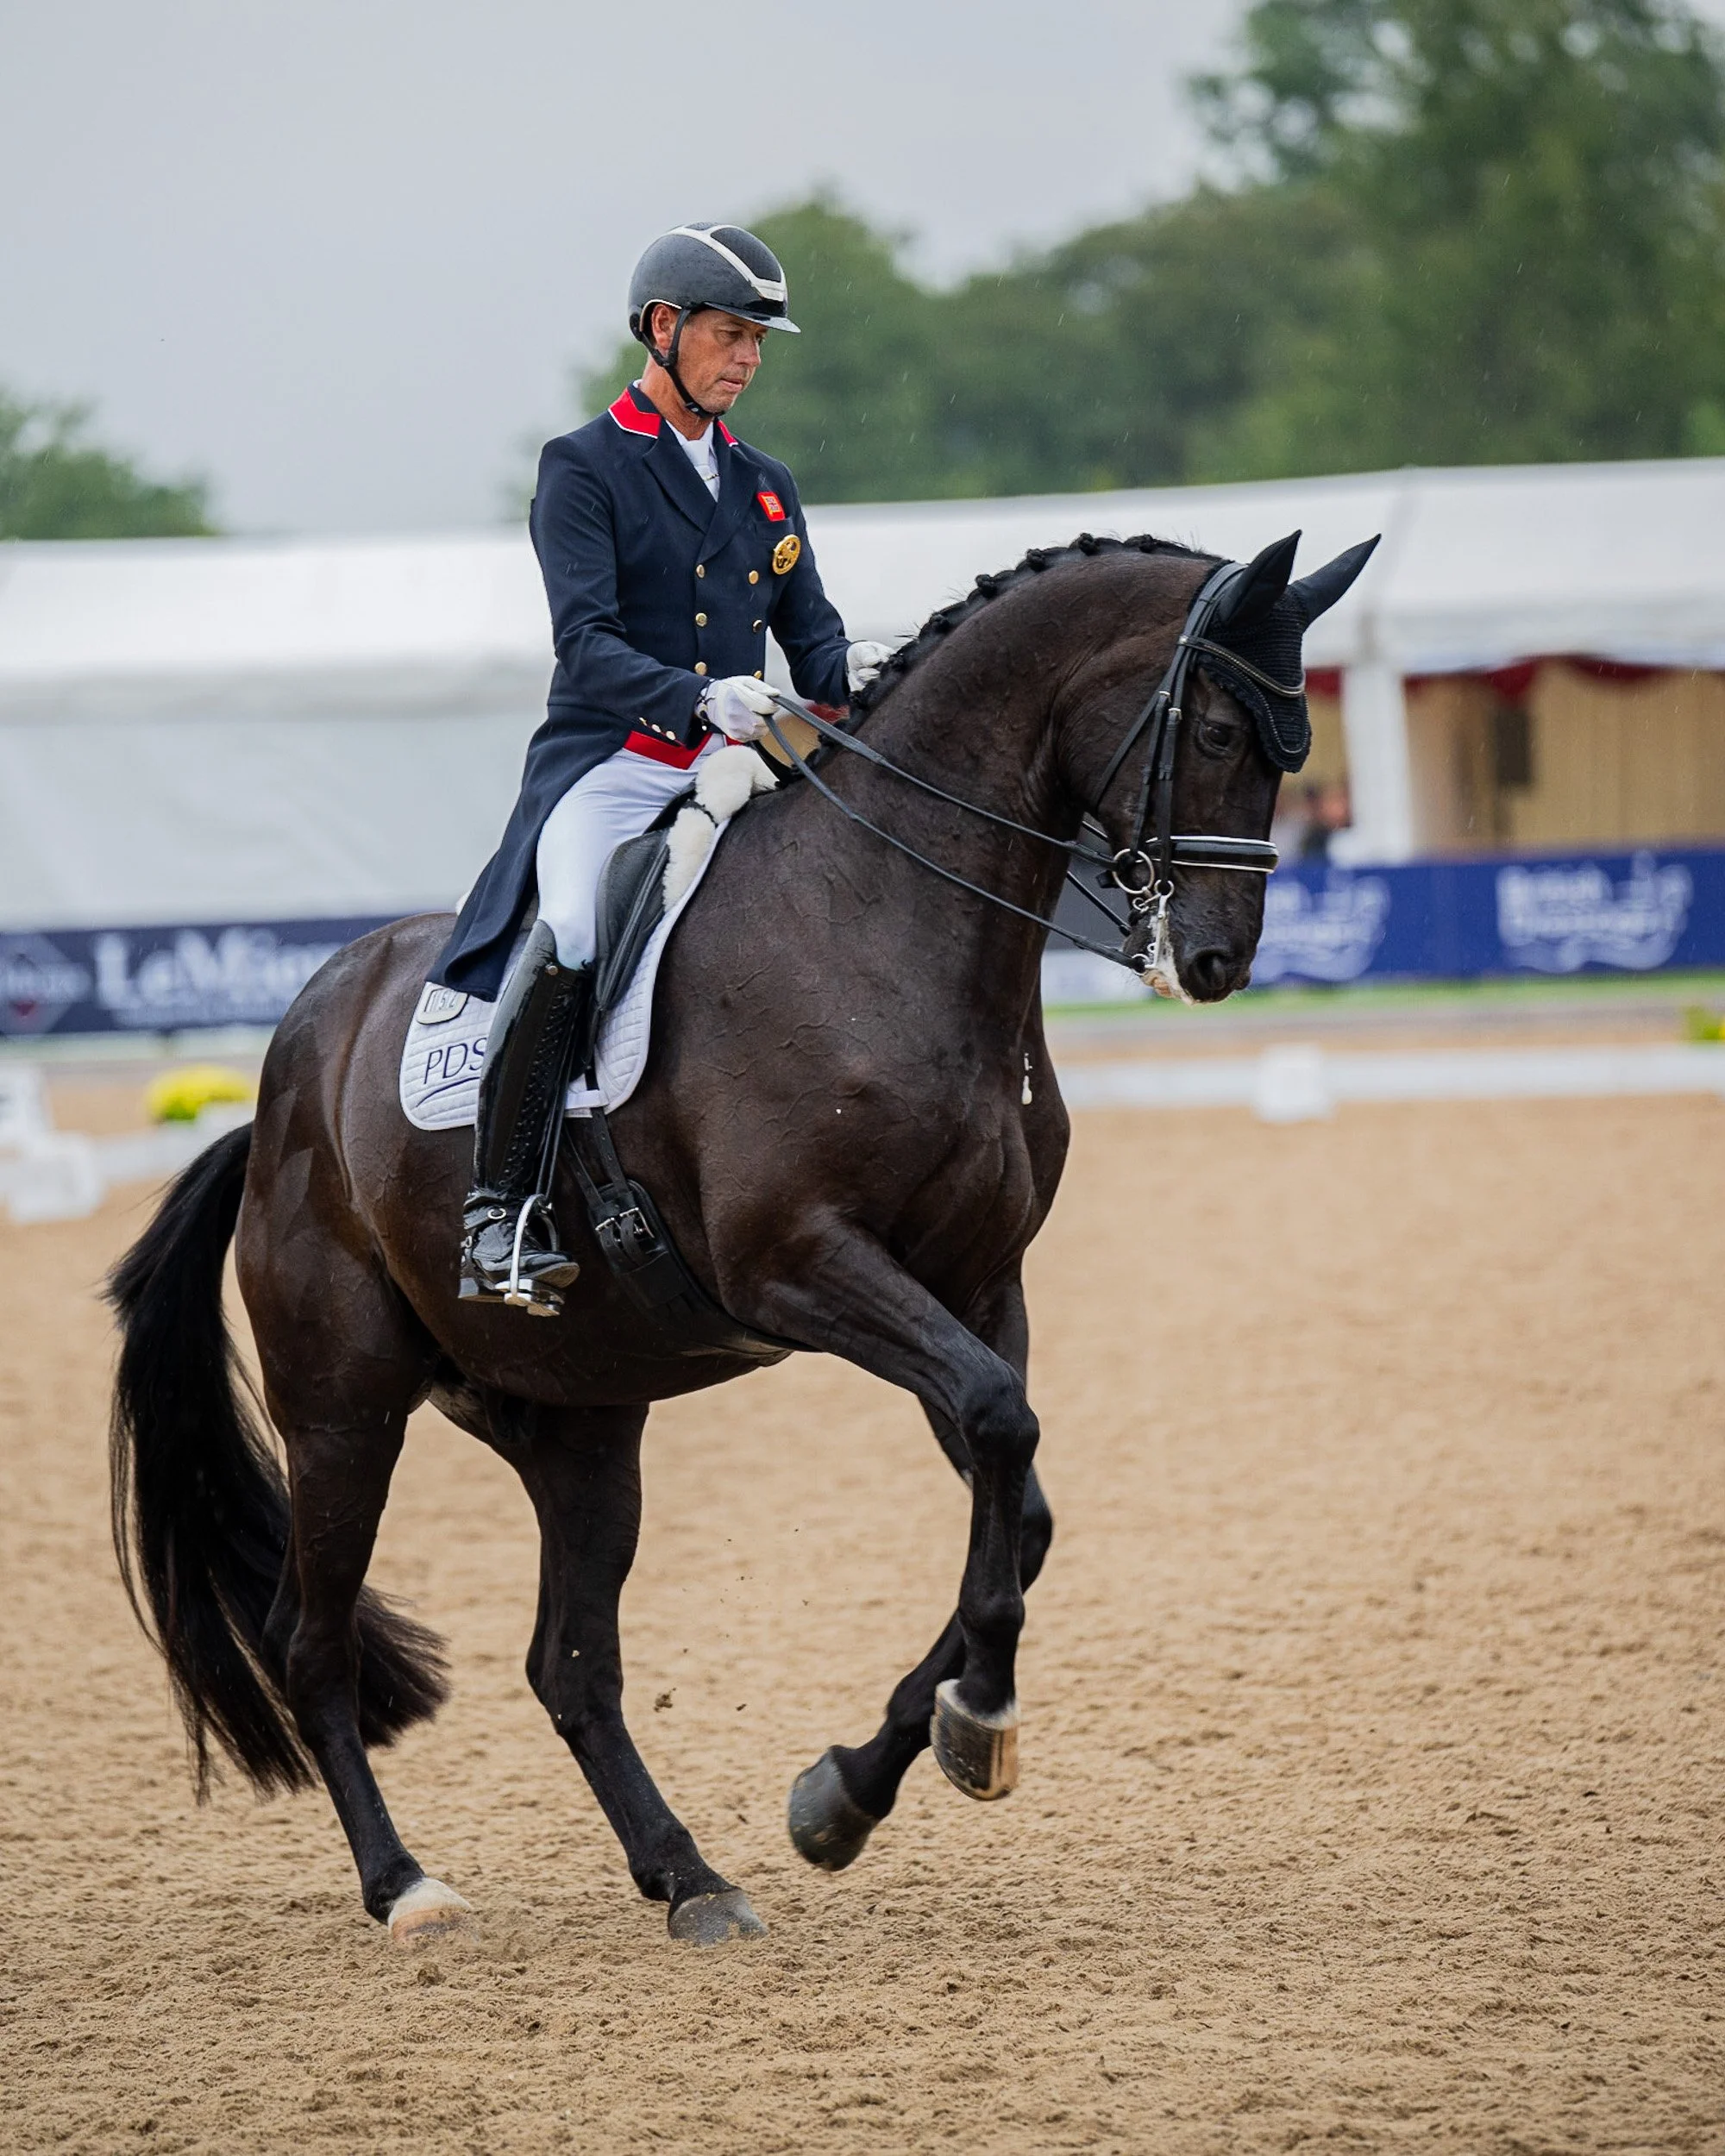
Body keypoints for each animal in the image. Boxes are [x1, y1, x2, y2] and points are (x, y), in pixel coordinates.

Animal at [108, 526, 1372, 1949]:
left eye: (1290, 750)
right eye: (1213, 728)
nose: (1215, 962)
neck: (885, 922)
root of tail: (280, 1085)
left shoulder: (972, 1281)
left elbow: (1020, 1498)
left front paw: (855, 1789)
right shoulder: (803, 1266)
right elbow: (1003, 1429)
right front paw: (973, 1723)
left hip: (579, 1421)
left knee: (571, 1663)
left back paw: (690, 1878)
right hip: (345, 1410)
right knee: (312, 1639)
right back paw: (408, 1889)